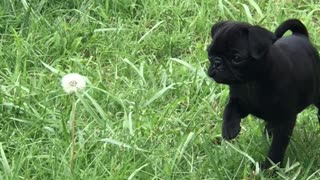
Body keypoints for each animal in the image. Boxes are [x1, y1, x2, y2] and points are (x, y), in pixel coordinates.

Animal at [208, 19, 320, 169]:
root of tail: (301, 36)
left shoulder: (285, 121)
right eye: (209, 53)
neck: (252, 82)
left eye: (236, 58)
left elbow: (277, 147)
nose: (217, 62)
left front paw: (269, 168)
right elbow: (230, 109)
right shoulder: (240, 103)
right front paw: (229, 128)